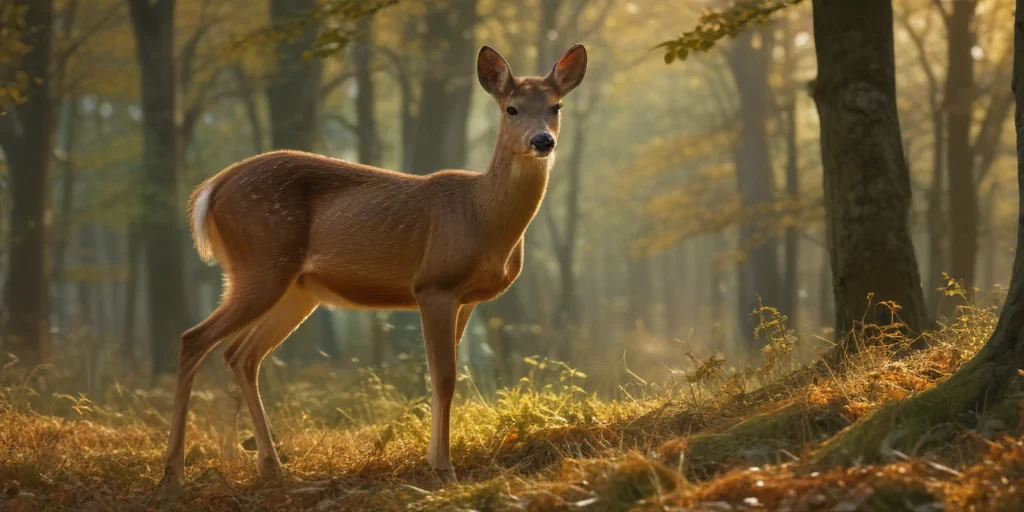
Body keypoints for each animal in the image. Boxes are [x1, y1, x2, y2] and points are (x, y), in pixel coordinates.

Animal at [156, 43, 588, 494]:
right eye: (511, 108)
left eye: (556, 106)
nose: (543, 140)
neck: (482, 217)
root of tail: (209, 191)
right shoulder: (433, 285)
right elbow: (444, 377)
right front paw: (443, 468)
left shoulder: (467, 299)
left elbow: (446, 377)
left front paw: (432, 461)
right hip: (260, 263)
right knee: (194, 339)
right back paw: (174, 471)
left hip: (296, 289)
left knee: (240, 354)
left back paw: (270, 467)